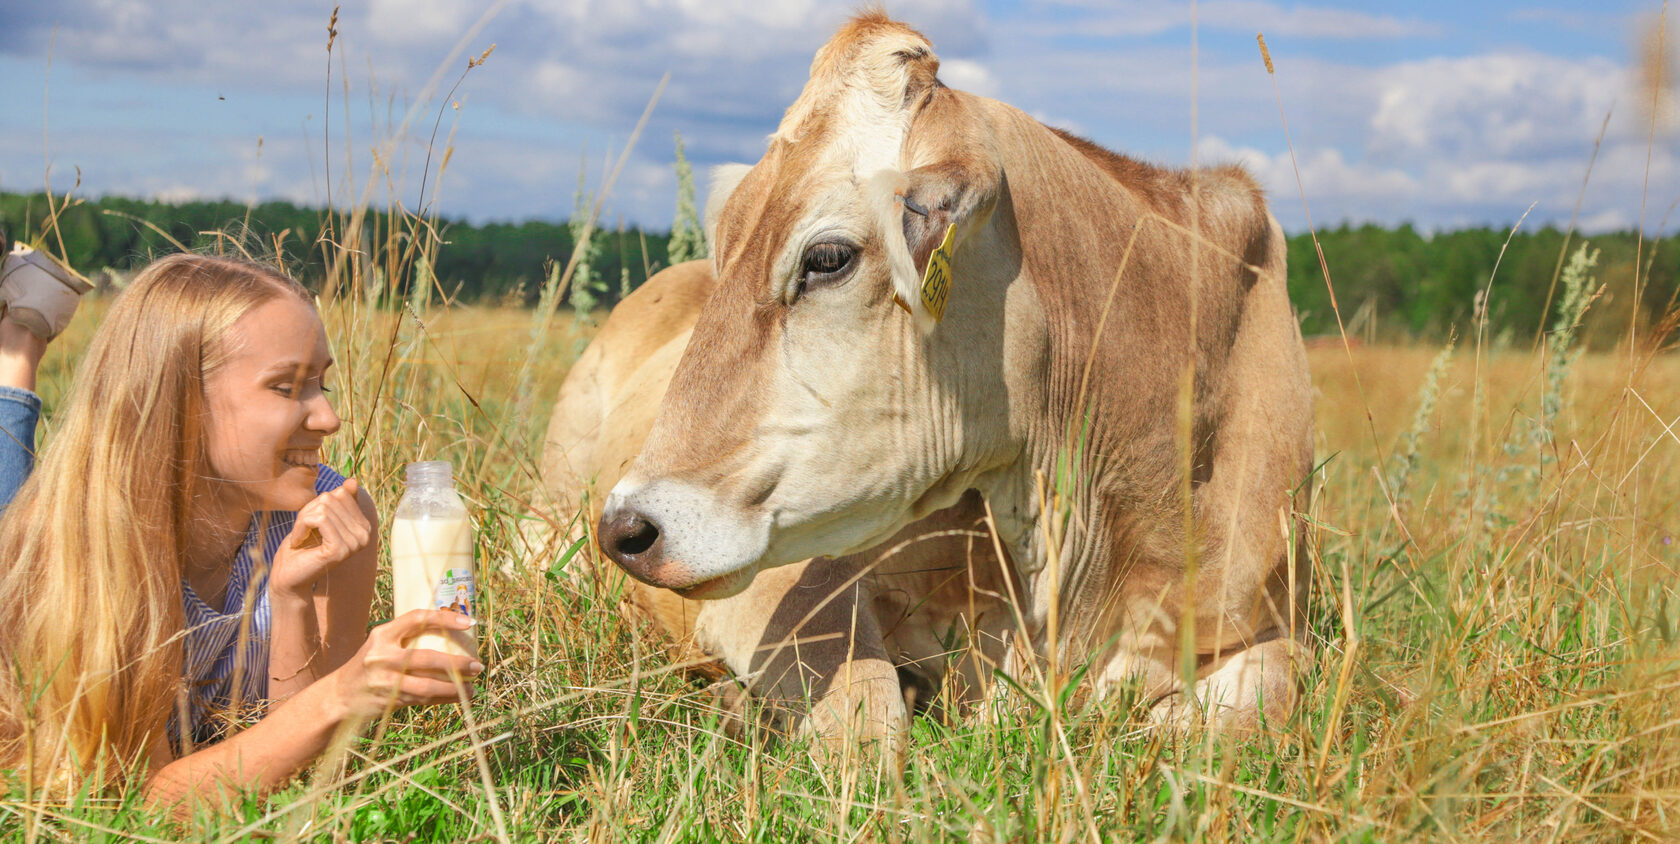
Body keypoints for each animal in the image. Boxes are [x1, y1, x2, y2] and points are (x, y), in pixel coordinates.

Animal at [598, 8, 1317, 733]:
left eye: (828, 258)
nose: (625, 528)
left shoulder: (1267, 620)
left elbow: (1259, 705)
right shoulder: (790, 577)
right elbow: (871, 716)